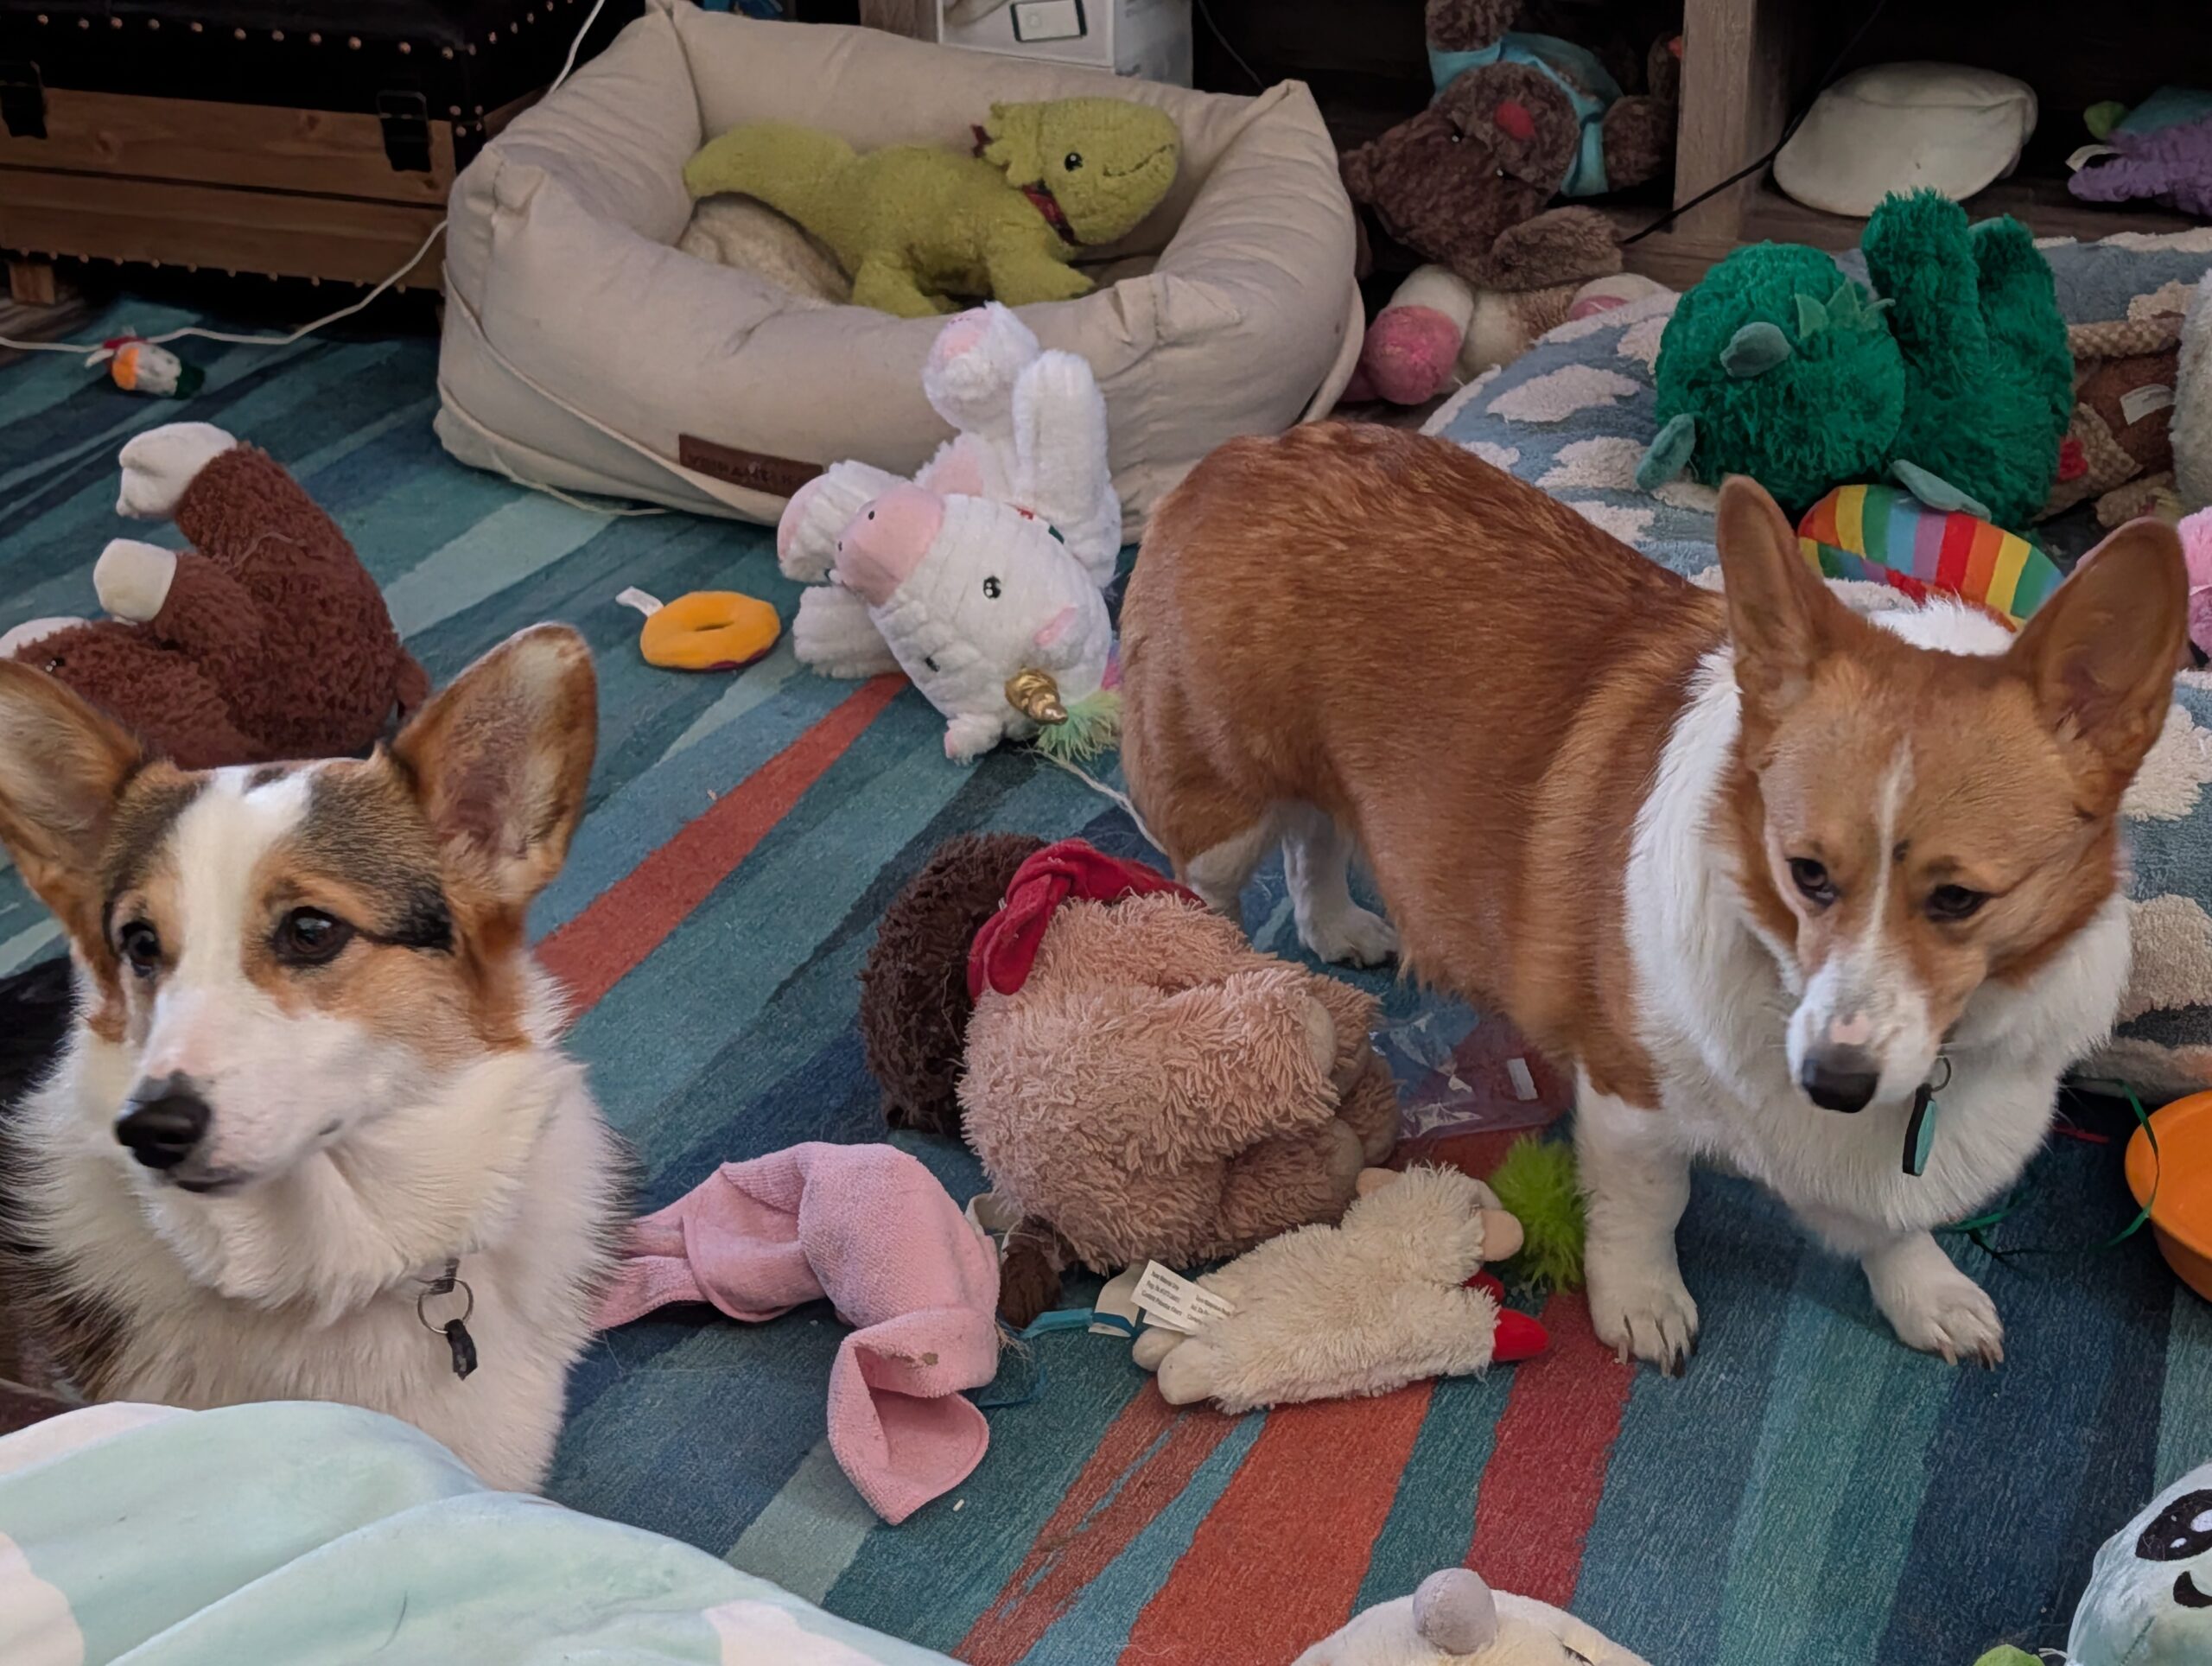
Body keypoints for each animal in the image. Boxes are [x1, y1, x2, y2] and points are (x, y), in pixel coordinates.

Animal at [1119, 423, 2184, 1371]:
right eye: (1805, 871)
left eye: (1959, 898)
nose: (1831, 1081)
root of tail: (1230, 457)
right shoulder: (1627, 1089)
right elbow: (1647, 1206)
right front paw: (1641, 1305)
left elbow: (1892, 1223)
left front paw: (1927, 1292)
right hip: (1220, 804)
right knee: (1210, 886)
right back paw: (1216, 990)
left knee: (1316, 835)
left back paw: (1338, 925)